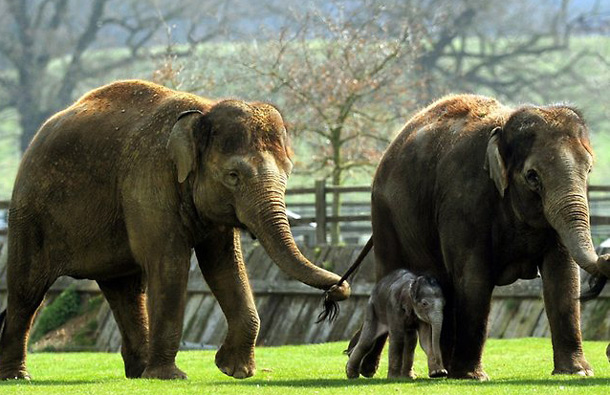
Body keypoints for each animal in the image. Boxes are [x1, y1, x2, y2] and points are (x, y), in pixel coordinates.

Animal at [0, 79, 350, 380]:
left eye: (288, 172)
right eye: (233, 175)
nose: (340, 289)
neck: (204, 109)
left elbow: (224, 264)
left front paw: (235, 371)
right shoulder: (149, 178)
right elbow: (169, 262)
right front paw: (171, 377)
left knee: (125, 290)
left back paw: (138, 373)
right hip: (29, 214)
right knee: (28, 290)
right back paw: (18, 376)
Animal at [358, 95, 608, 380]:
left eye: (589, 170)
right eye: (532, 176)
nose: (606, 259)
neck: (503, 127)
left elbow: (562, 274)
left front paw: (576, 372)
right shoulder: (464, 201)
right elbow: (473, 277)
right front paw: (471, 376)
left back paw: (441, 370)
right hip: (385, 217)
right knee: (392, 274)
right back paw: (370, 369)